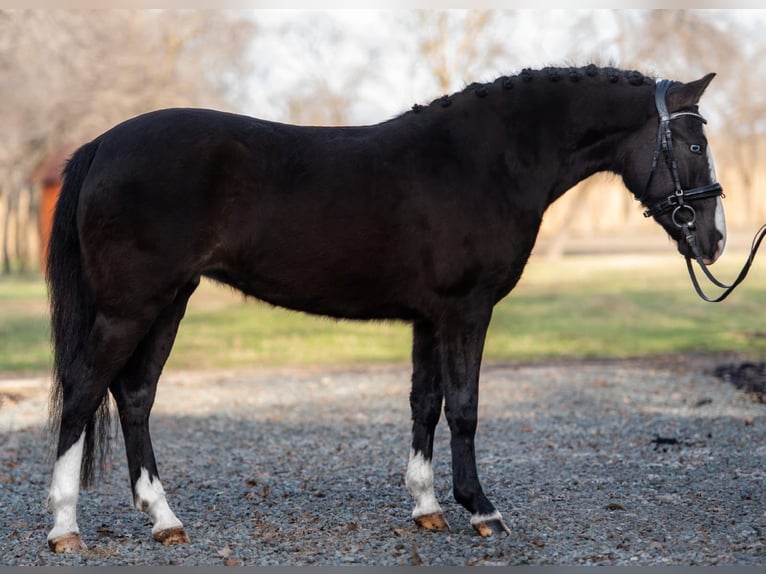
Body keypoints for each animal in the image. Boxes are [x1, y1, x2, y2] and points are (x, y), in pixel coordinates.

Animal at [45, 65, 728, 556]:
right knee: (84, 392)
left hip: (168, 303)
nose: (716, 239)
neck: (485, 160)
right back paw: (64, 527)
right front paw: (482, 510)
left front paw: (427, 508)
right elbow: (465, 409)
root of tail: (103, 144)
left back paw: (164, 519)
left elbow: (425, 404)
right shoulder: (466, 312)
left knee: (135, 396)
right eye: (694, 143)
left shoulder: (430, 318)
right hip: (131, 307)